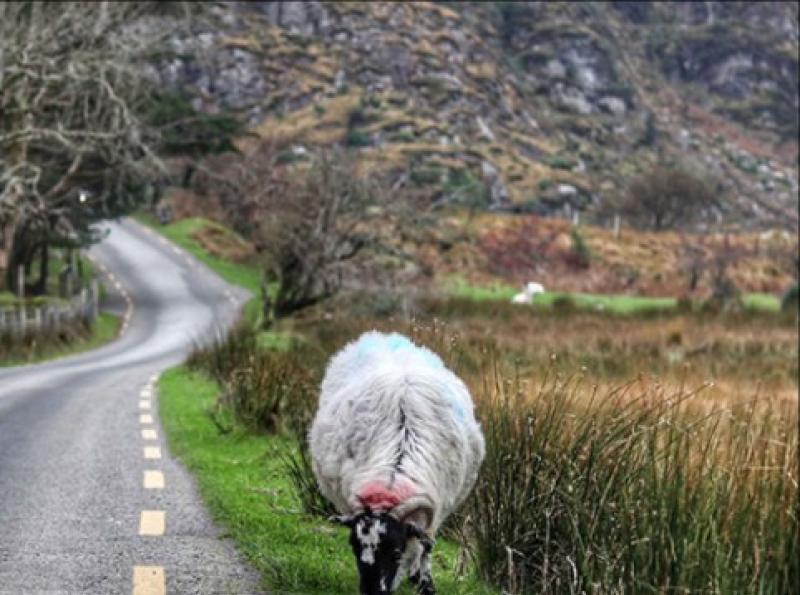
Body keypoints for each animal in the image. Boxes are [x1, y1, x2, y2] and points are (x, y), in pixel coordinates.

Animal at [309, 331, 485, 595]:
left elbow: (424, 548)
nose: (372, 592)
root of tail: (383, 336)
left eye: (394, 551)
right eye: (354, 548)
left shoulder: (435, 510)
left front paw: (425, 583)